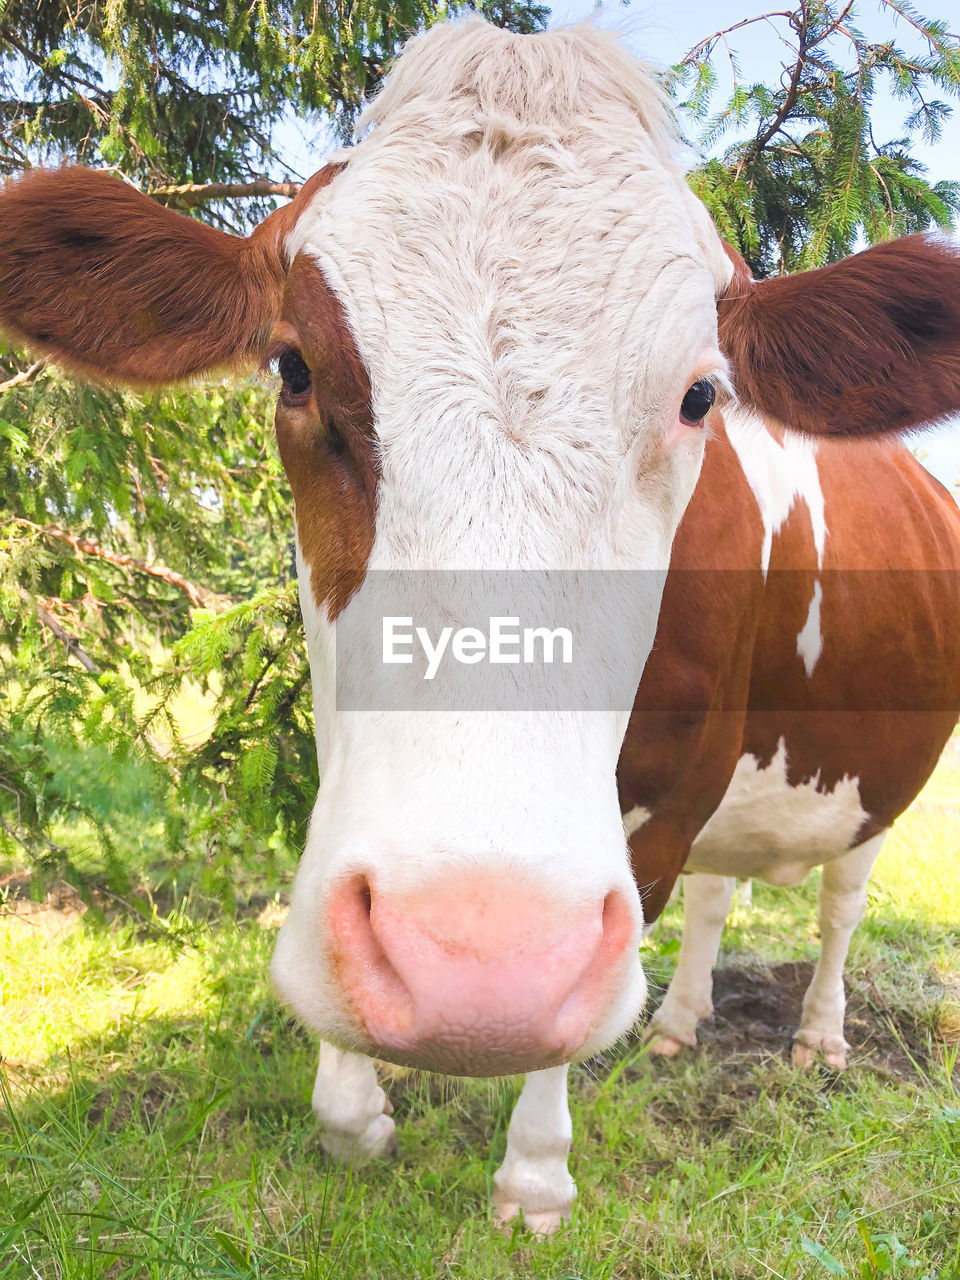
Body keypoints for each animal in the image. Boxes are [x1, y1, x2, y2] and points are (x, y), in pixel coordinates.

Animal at [1, 17, 960, 1239]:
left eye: (701, 396)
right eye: (295, 366)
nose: (475, 961)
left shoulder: (670, 796)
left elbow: (581, 1002)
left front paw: (535, 1177)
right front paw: (355, 1114)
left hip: (875, 778)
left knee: (838, 905)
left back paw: (819, 1038)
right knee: (717, 897)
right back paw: (680, 1024)